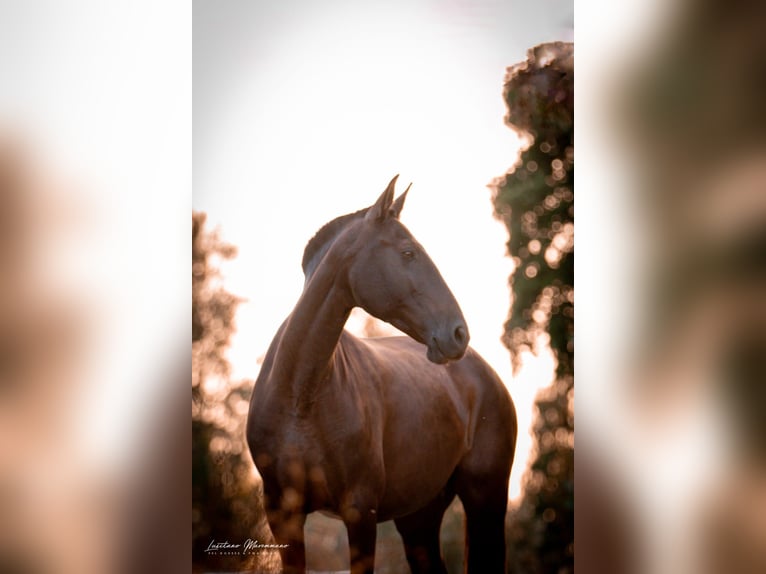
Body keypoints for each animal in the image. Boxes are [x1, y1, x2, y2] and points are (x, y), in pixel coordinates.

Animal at [249, 177, 520, 574]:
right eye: (408, 252)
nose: (458, 333)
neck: (300, 394)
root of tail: (486, 375)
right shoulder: (282, 514)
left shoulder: (360, 512)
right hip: (419, 518)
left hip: (486, 497)